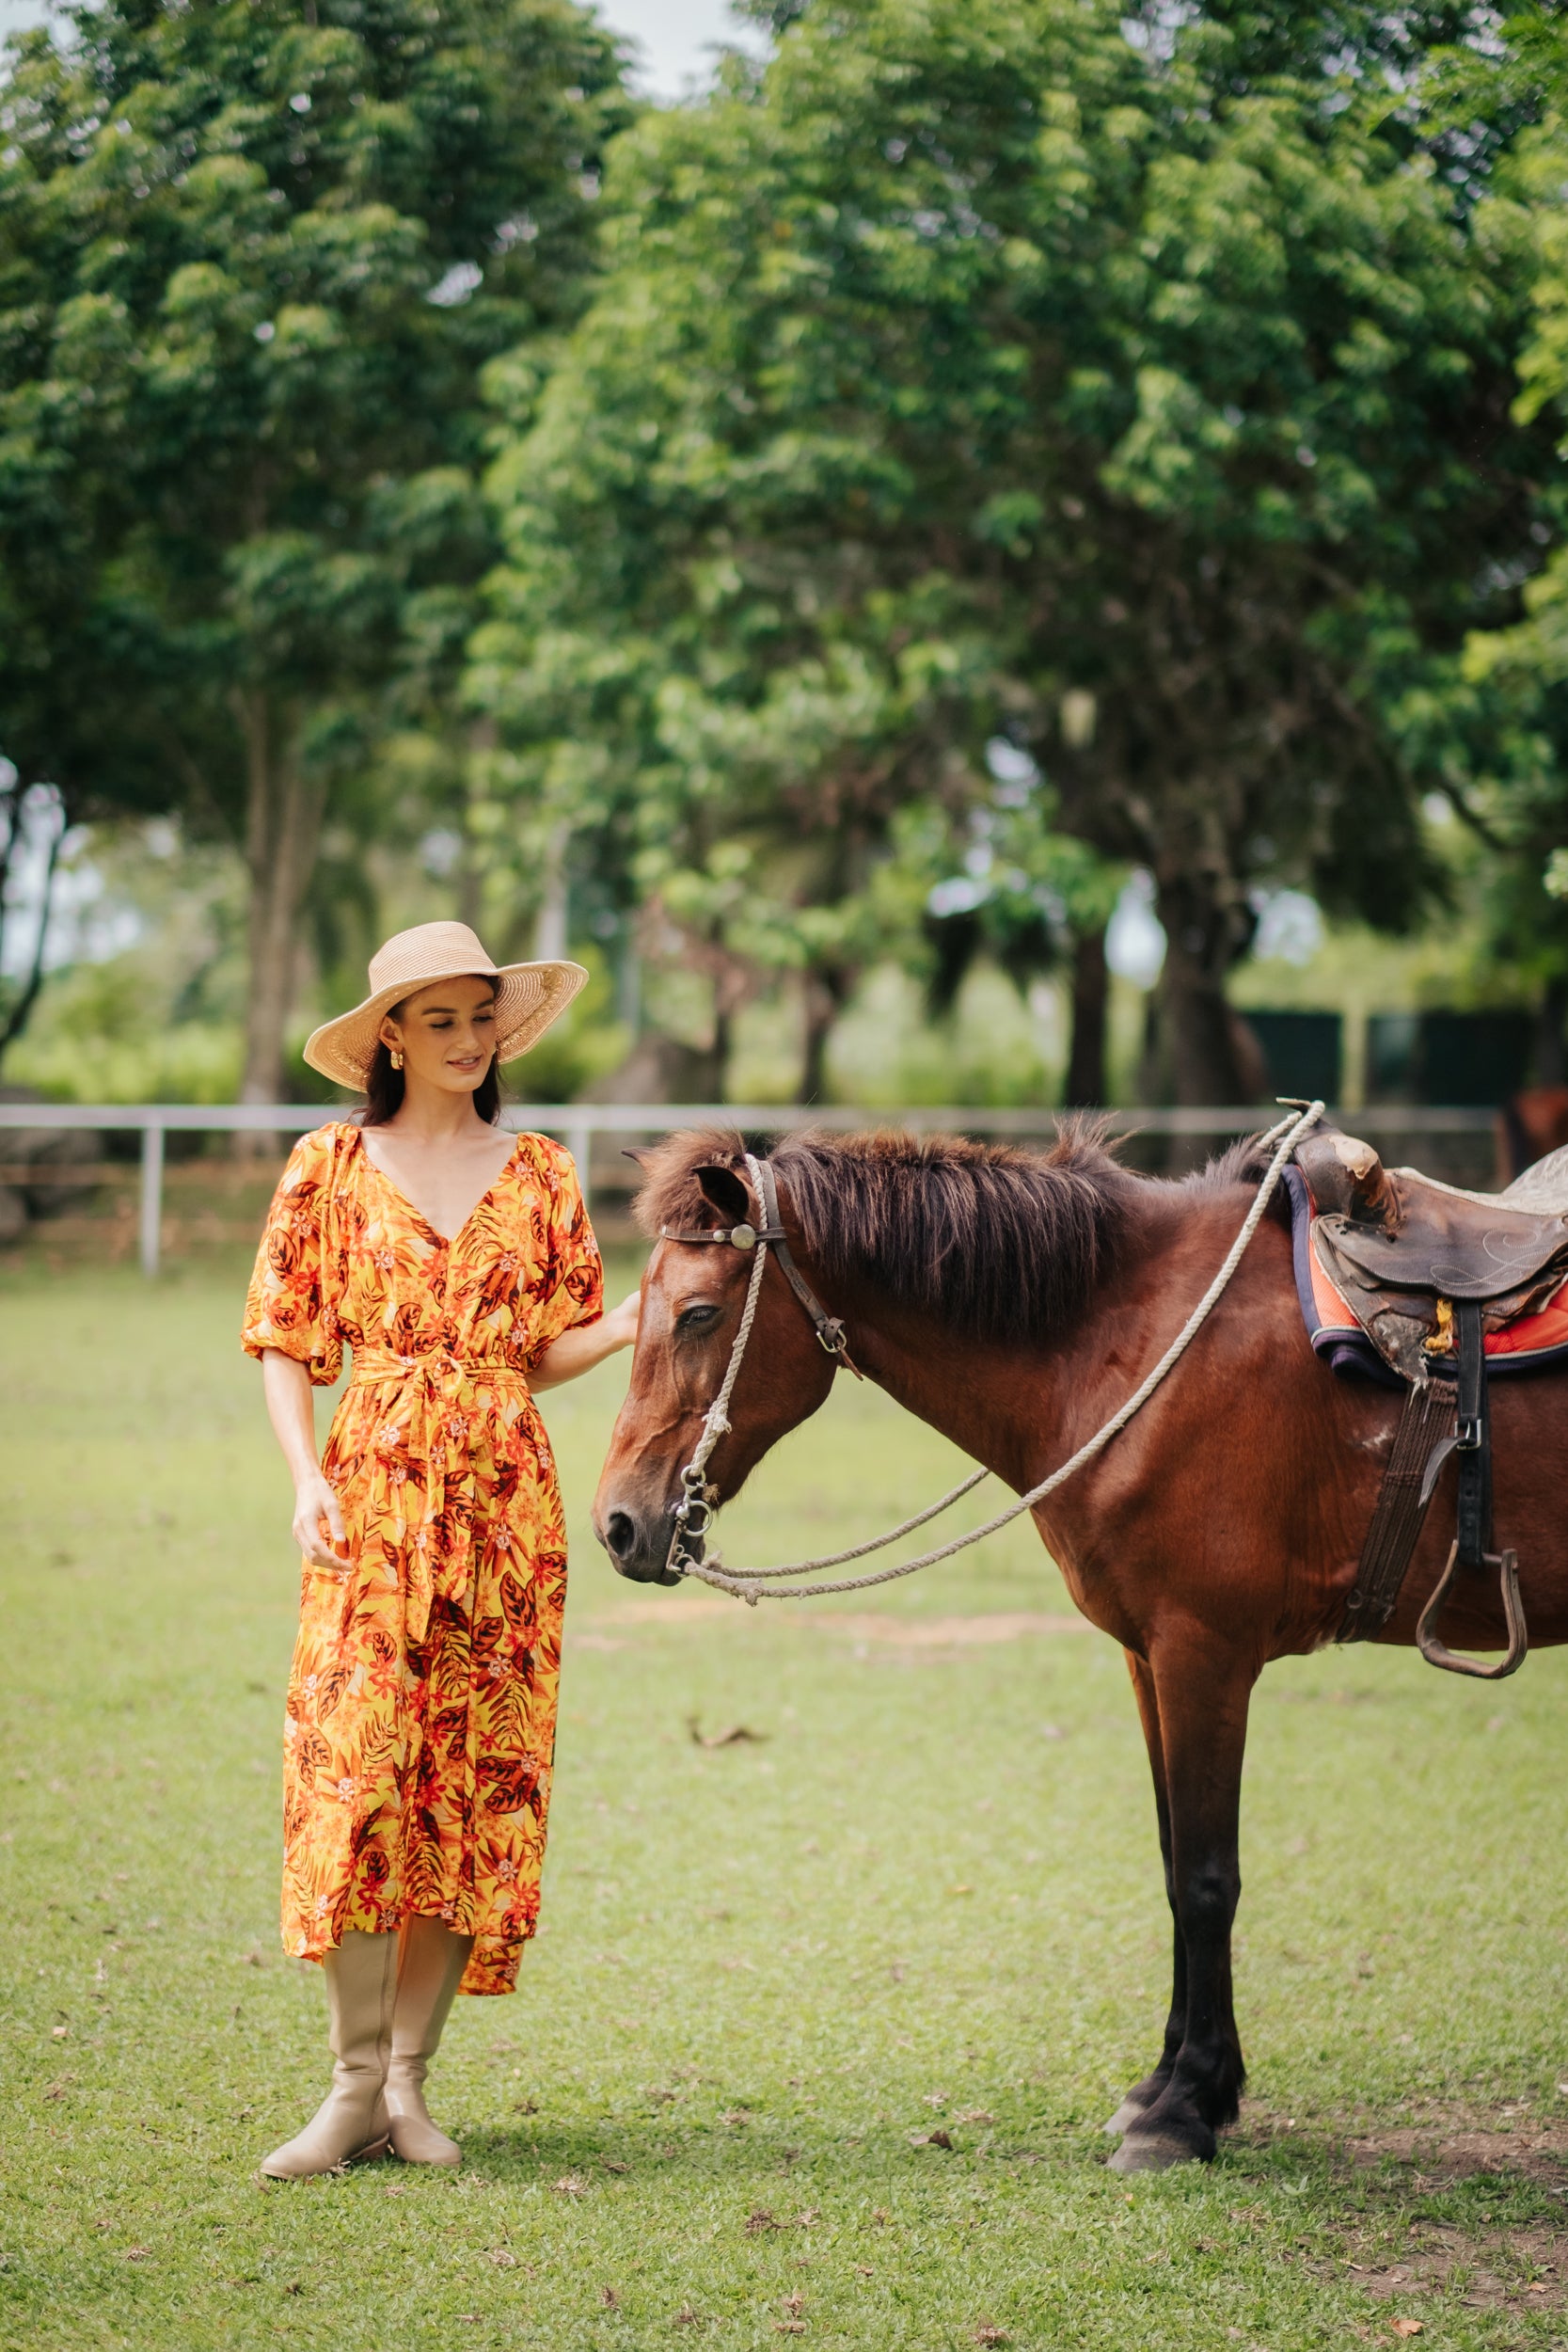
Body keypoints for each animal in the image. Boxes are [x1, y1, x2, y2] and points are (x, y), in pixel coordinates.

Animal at [592, 1129, 1568, 2173]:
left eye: (698, 1313)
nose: (617, 1522)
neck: (1134, 1338)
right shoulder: (1148, 1655)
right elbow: (1173, 1859)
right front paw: (1173, 2083)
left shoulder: (1202, 1650)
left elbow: (1206, 1877)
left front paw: (1181, 2112)